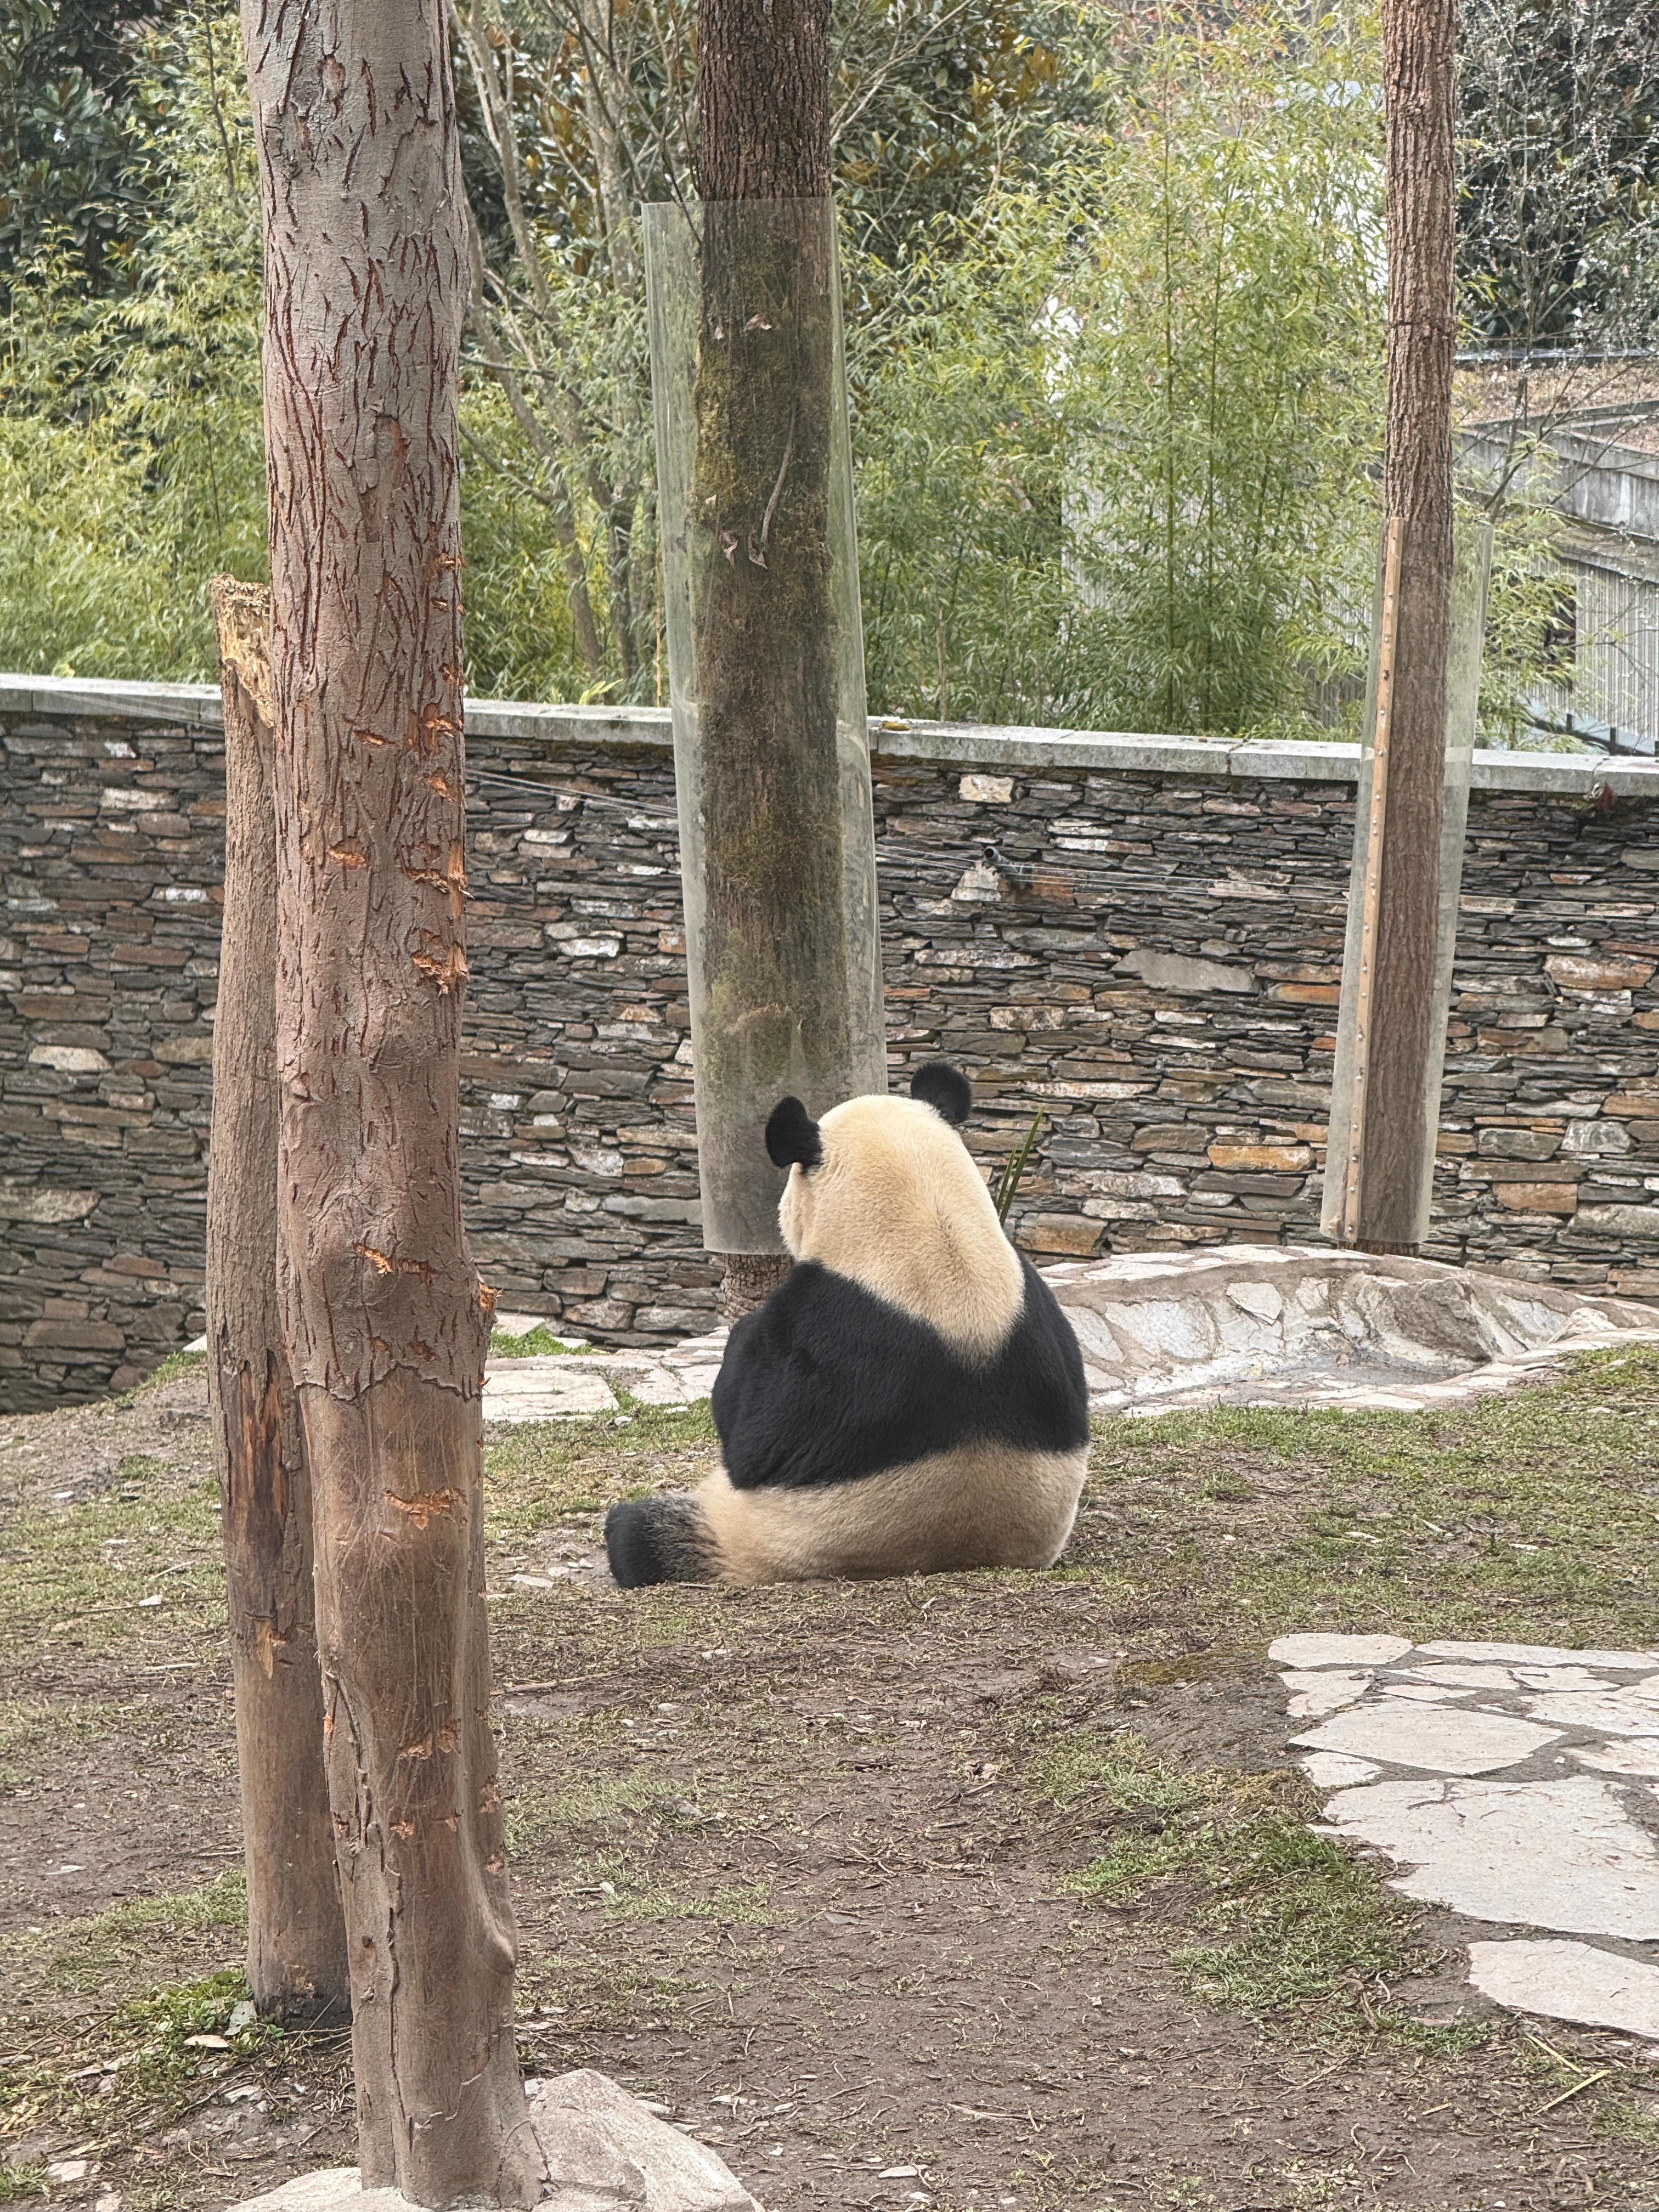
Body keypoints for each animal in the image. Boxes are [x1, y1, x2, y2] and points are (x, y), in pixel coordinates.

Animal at [606, 1057, 1097, 1593]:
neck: (939, 1234)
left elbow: (753, 1439)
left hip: (760, 1534)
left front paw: (741, 1340)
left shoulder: (824, 1331)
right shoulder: (1038, 1303)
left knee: (643, 1536)